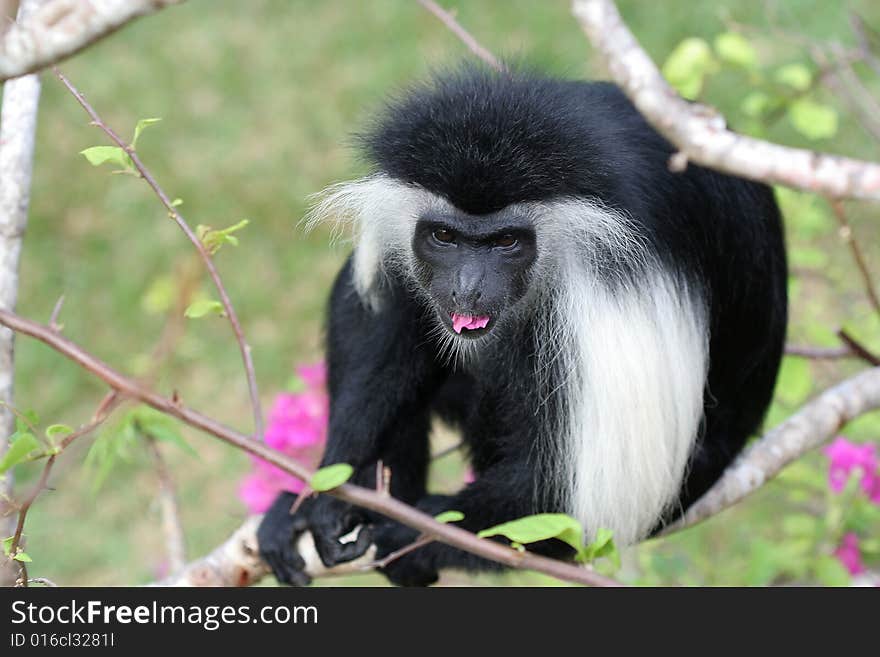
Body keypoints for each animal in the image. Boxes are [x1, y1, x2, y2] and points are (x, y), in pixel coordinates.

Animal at [258, 65, 788, 584]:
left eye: (506, 242)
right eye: (444, 236)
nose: (468, 288)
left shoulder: (612, 287)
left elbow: (580, 500)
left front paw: (409, 533)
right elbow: (374, 310)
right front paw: (325, 500)